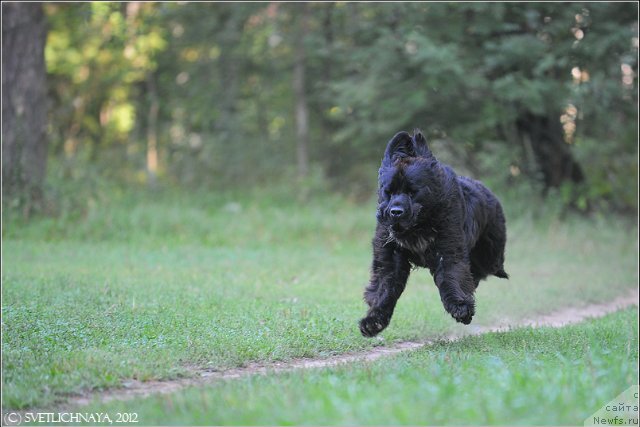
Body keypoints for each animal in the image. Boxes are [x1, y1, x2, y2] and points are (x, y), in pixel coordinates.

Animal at [358, 130, 508, 338]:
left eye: (412, 191)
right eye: (389, 192)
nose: (395, 211)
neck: (418, 226)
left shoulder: (448, 247)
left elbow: (452, 276)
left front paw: (460, 307)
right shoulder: (389, 256)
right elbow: (384, 288)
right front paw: (373, 321)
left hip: (490, 254)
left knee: (486, 268)